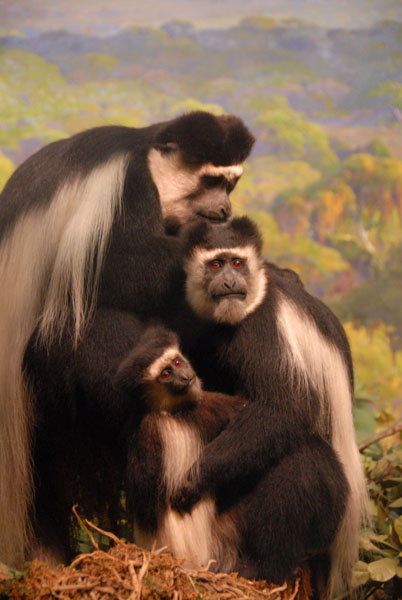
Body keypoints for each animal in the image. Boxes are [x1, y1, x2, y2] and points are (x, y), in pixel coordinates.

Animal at [168, 217, 370, 600]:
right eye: (215, 265)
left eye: (236, 263)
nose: (230, 283)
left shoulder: (261, 327)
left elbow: (286, 404)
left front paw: (194, 477)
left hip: (323, 520)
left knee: (304, 460)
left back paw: (262, 569)